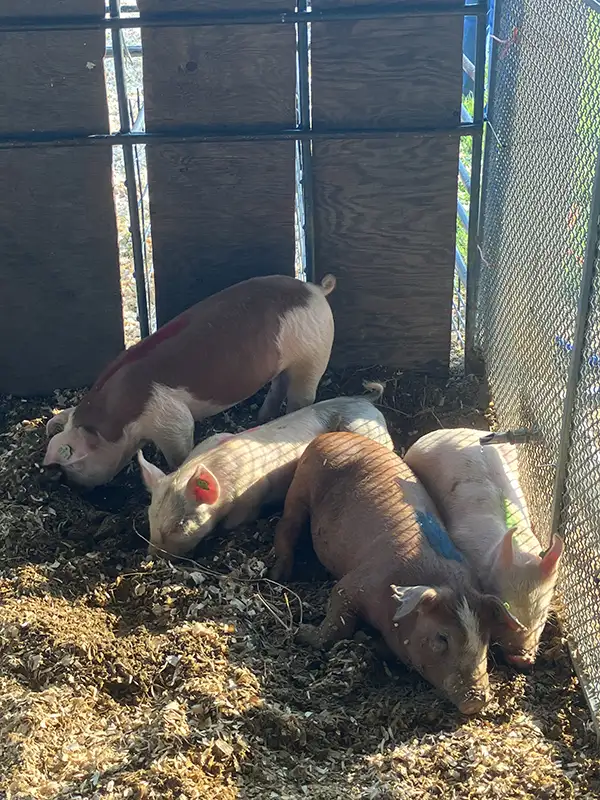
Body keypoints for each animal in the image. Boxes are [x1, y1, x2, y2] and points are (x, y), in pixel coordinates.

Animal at [43, 274, 336, 489]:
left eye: (75, 462)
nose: (66, 482)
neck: (118, 418)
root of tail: (315, 289)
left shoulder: (167, 417)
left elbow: (181, 443)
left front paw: (178, 467)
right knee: (279, 384)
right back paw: (263, 417)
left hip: (314, 352)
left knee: (303, 393)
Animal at [138, 383, 393, 558]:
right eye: (150, 516)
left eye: (181, 525)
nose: (153, 556)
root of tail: (363, 401)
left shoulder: (250, 499)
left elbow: (234, 523)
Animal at [270, 432, 525, 715]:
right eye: (442, 637)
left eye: (485, 640)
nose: (476, 700)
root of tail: (332, 435)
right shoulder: (354, 585)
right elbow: (336, 624)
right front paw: (302, 632)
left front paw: (365, 639)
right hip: (301, 484)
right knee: (287, 524)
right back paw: (279, 573)